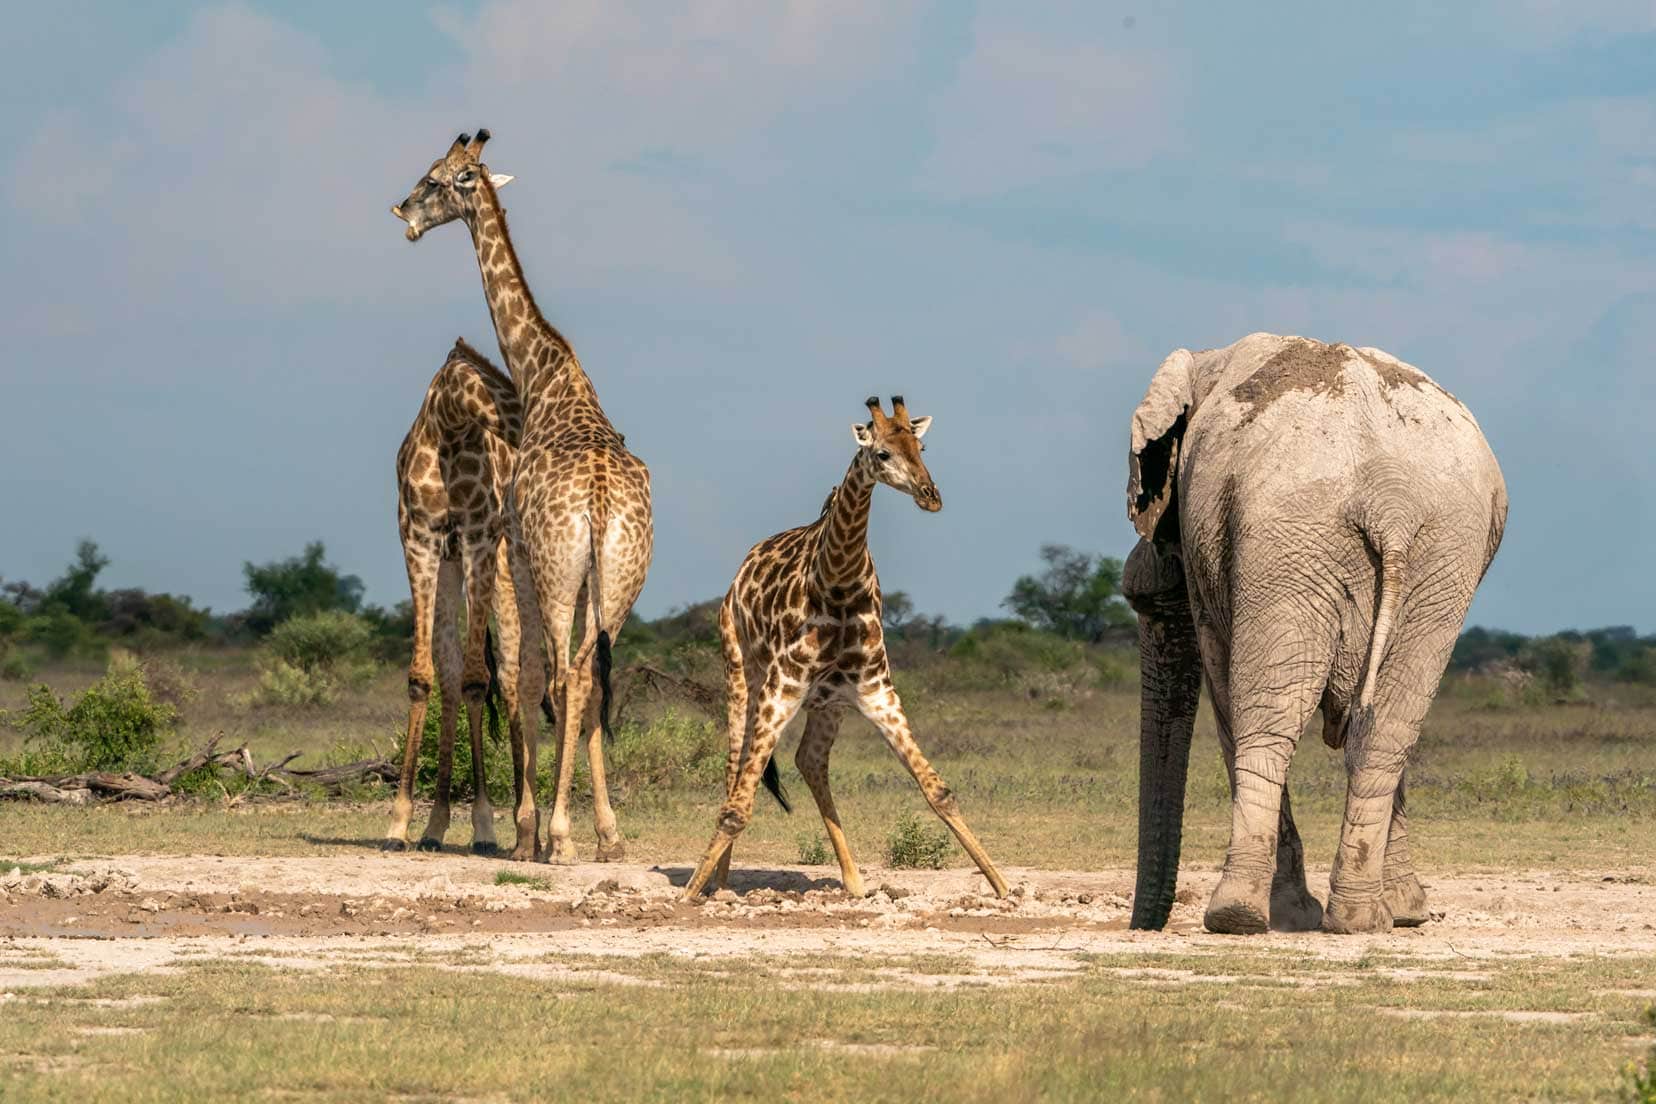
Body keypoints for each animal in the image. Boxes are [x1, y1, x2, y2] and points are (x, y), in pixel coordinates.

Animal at [382, 337, 549, 854]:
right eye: (518, 406)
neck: (449, 429)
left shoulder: (478, 539)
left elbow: (480, 680)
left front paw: (484, 826)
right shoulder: (419, 540)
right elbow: (427, 676)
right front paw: (401, 825)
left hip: (506, 569)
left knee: (512, 676)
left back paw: (527, 830)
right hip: (458, 566)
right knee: (455, 668)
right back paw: (438, 828)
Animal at [675, 395, 1006, 900]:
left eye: (921, 446)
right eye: (883, 453)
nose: (931, 495)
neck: (837, 583)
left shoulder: (876, 690)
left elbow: (938, 789)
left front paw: (1004, 887)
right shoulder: (781, 687)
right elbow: (737, 807)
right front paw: (689, 893)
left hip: (828, 703)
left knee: (809, 761)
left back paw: (853, 880)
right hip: (740, 672)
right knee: (734, 771)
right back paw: (721, 882)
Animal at [1119, 331, 1510, 933]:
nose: (1143, 925)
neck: (1208, 361)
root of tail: (1390, 499)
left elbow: (1226, 692)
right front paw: (1404, 913)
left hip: (1290, 536)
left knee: (1269, 717)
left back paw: (1241, 915)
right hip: (1443, 554)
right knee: (1389, 725)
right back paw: (1362, 918)